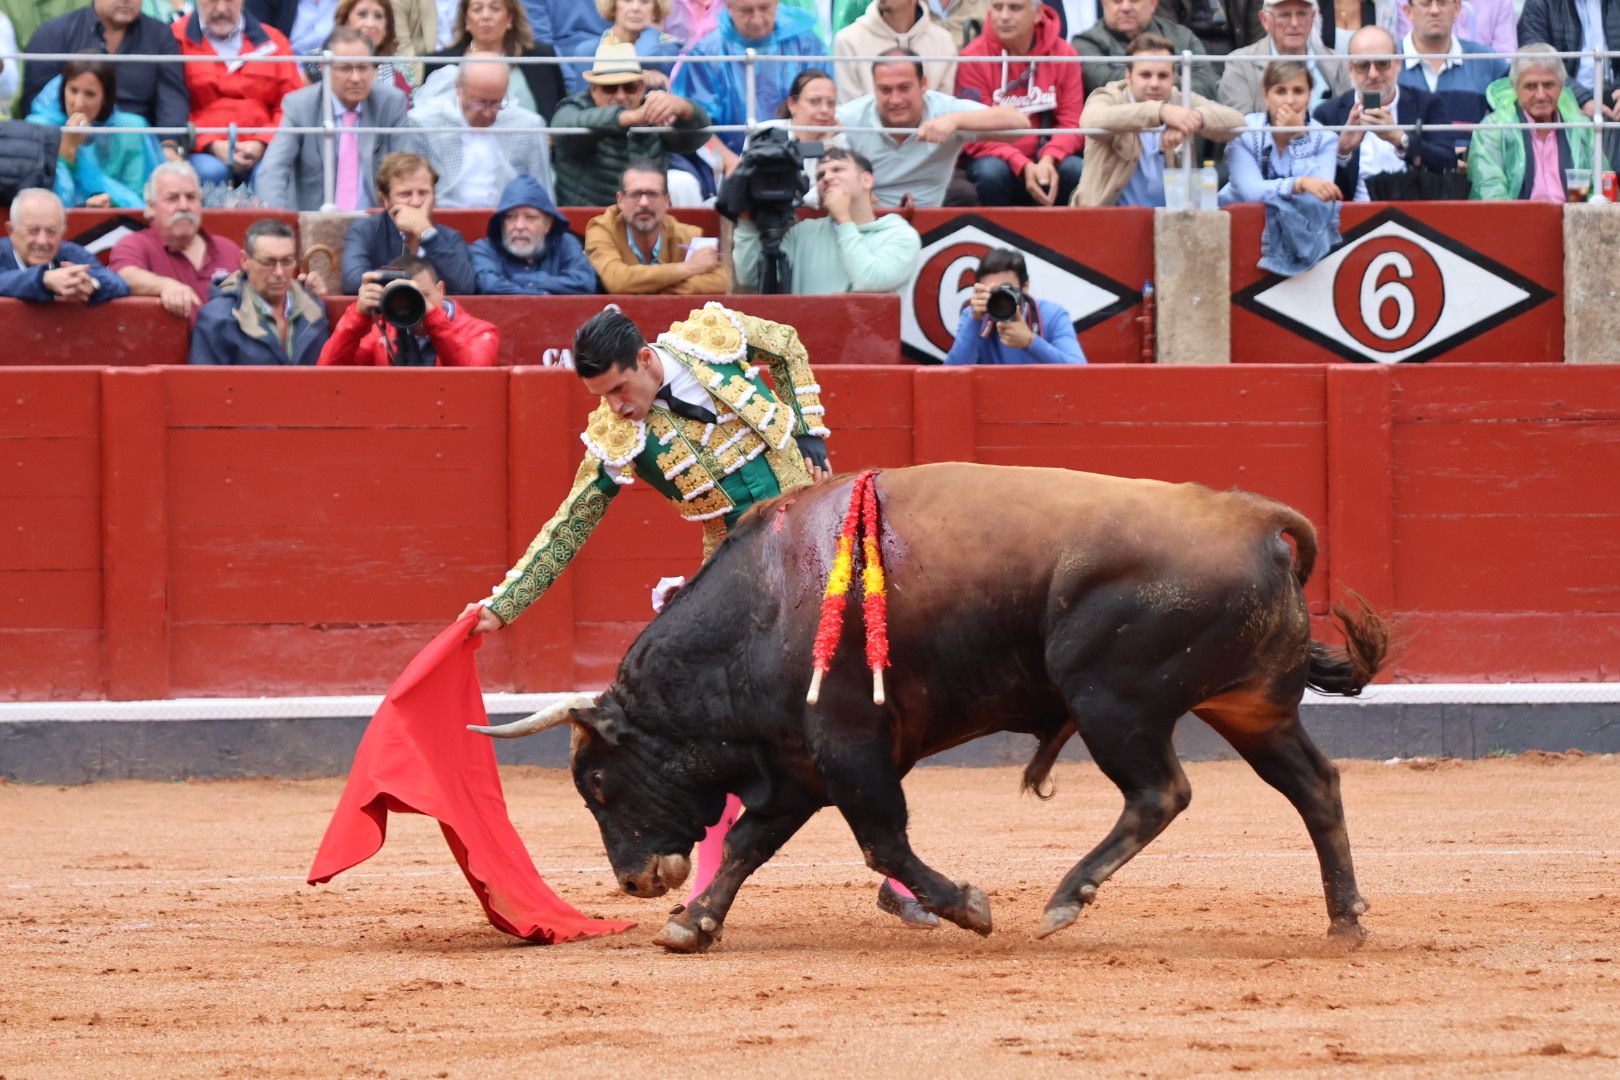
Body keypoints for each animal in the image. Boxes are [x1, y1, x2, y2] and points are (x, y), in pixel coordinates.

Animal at [473, 466, 1386, 952]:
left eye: (597, 784)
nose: (633, 880)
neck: (762, 610)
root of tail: (1253, 517)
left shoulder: (849, 749)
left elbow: (881, 841)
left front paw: (969, 907)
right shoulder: (797, 766)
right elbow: (744, 845)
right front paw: (692, 923)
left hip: (1113, 702)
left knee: (1161, 793)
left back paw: (1066, 898)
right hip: (1252, 707)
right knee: (1316, 786)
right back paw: (1344, 919)